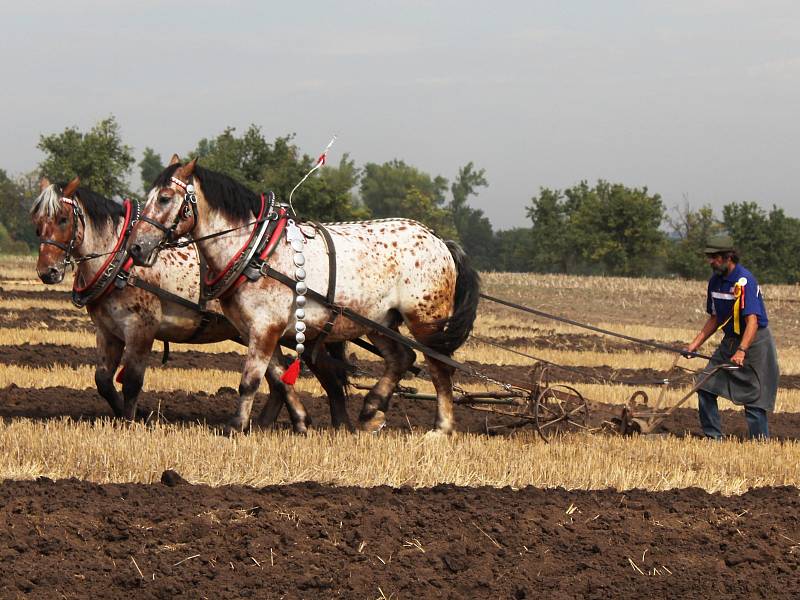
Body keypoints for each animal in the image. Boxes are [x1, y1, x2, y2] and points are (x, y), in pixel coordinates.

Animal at [29, 175, 348, 432]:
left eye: (63, 219)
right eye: (37, 224)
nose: (47, 272)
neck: (120, 262)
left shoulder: (141, 327)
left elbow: (131, 380)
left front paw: (131, 422)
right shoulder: (108, 331)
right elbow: (104, 381)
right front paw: (132, 416)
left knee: (326, 377)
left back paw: (341, 424)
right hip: (259, 331)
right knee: (279, 379)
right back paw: (283, 422)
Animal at [127, 157, 478, 434]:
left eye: (165, 198)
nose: (136, 248)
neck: (256, 250)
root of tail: (439, 240)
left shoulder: (265, 327)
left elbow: (250, 380)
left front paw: (235, 427)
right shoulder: (254, 329)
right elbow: (278, 377)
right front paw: (299, 422)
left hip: (426, 320)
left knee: (439, 367)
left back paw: (442, 428)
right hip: (378, 321)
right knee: (402, 358)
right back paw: (371, 410)